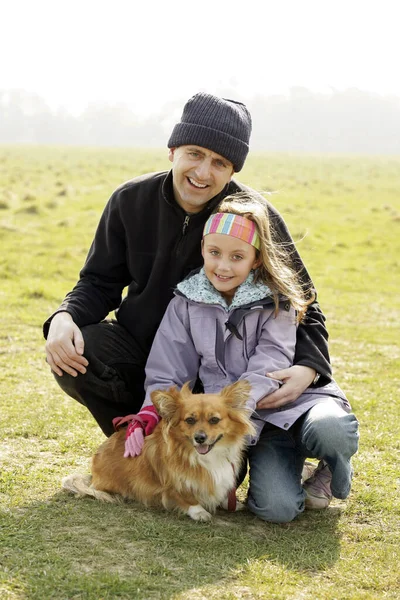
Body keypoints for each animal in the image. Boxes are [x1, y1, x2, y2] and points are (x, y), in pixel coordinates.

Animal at [62, 384, 256, 520]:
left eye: (214, 420)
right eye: (190, 420)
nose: (200, 438)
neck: (209, 457)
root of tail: (94, 473)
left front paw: (229, 502)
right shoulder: (172, 483)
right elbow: (185, 496)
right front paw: (198, 511)